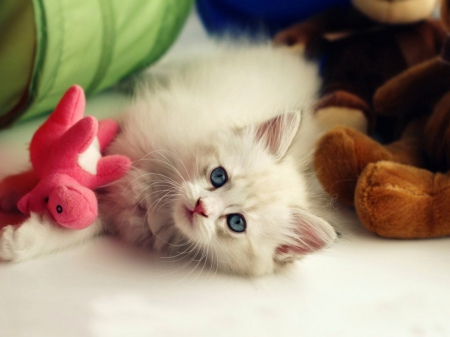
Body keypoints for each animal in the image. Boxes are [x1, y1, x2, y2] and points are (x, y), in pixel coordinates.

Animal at [0, 41, 342, 276]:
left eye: (236, 223)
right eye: (219, 176)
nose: (201, 207)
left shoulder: (117, 215)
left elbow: (73, 226)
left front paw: (17, 240)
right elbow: (53, 168)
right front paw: (11, 189)